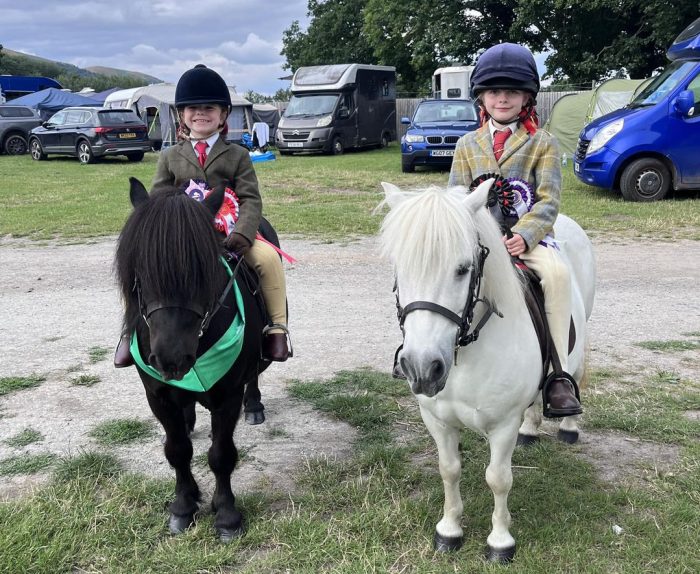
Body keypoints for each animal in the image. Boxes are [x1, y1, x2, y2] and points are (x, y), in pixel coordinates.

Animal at [115, 178, 268, 544]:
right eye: (139, 271)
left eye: (204, 271)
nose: (171, 358)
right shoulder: (157, 396)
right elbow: (177, 450)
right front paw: (183, 506)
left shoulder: (227, 396)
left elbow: (221, 455)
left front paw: (226, 515)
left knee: (254, 376)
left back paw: (254, 405)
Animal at [380, 179, 592, 564]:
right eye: (399, 269)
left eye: (463, 268)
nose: (422, 368)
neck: (466, 351)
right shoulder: (437, 419)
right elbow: (449, 470)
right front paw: (449, 530)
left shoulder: (502, 424)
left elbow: (498, 478)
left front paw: (500, 541)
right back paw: (531, 430)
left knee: (575, 374)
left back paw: (568, 425)